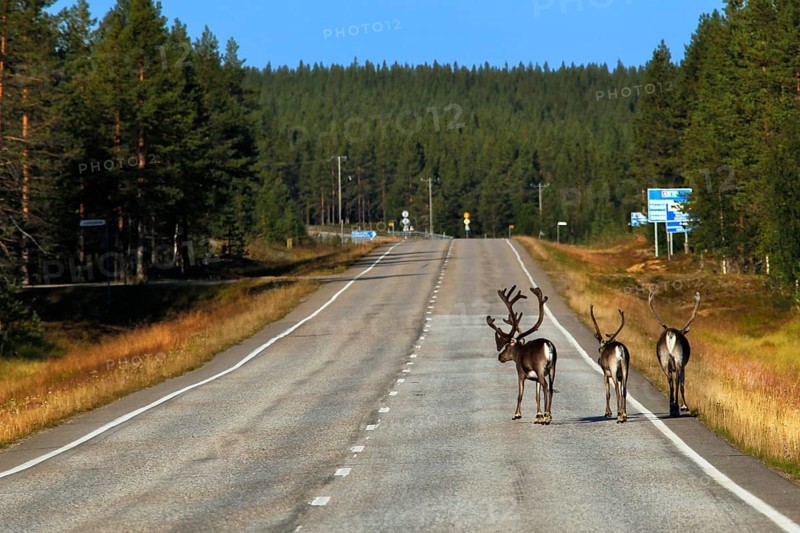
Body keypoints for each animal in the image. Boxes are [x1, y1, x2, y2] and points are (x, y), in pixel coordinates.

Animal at [486, 285, 557, 425]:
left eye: (506, 346)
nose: (500, 357)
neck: (519, 352)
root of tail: (548, 345)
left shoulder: (520, 372)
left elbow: (519, 395)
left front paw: (517, 414)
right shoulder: (535, 379)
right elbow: (537, 396)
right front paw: (538, 416)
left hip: (540, 367)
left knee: (546, 386)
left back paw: (547, 416)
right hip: (553, 367)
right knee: (551, 388)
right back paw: (549, 415)